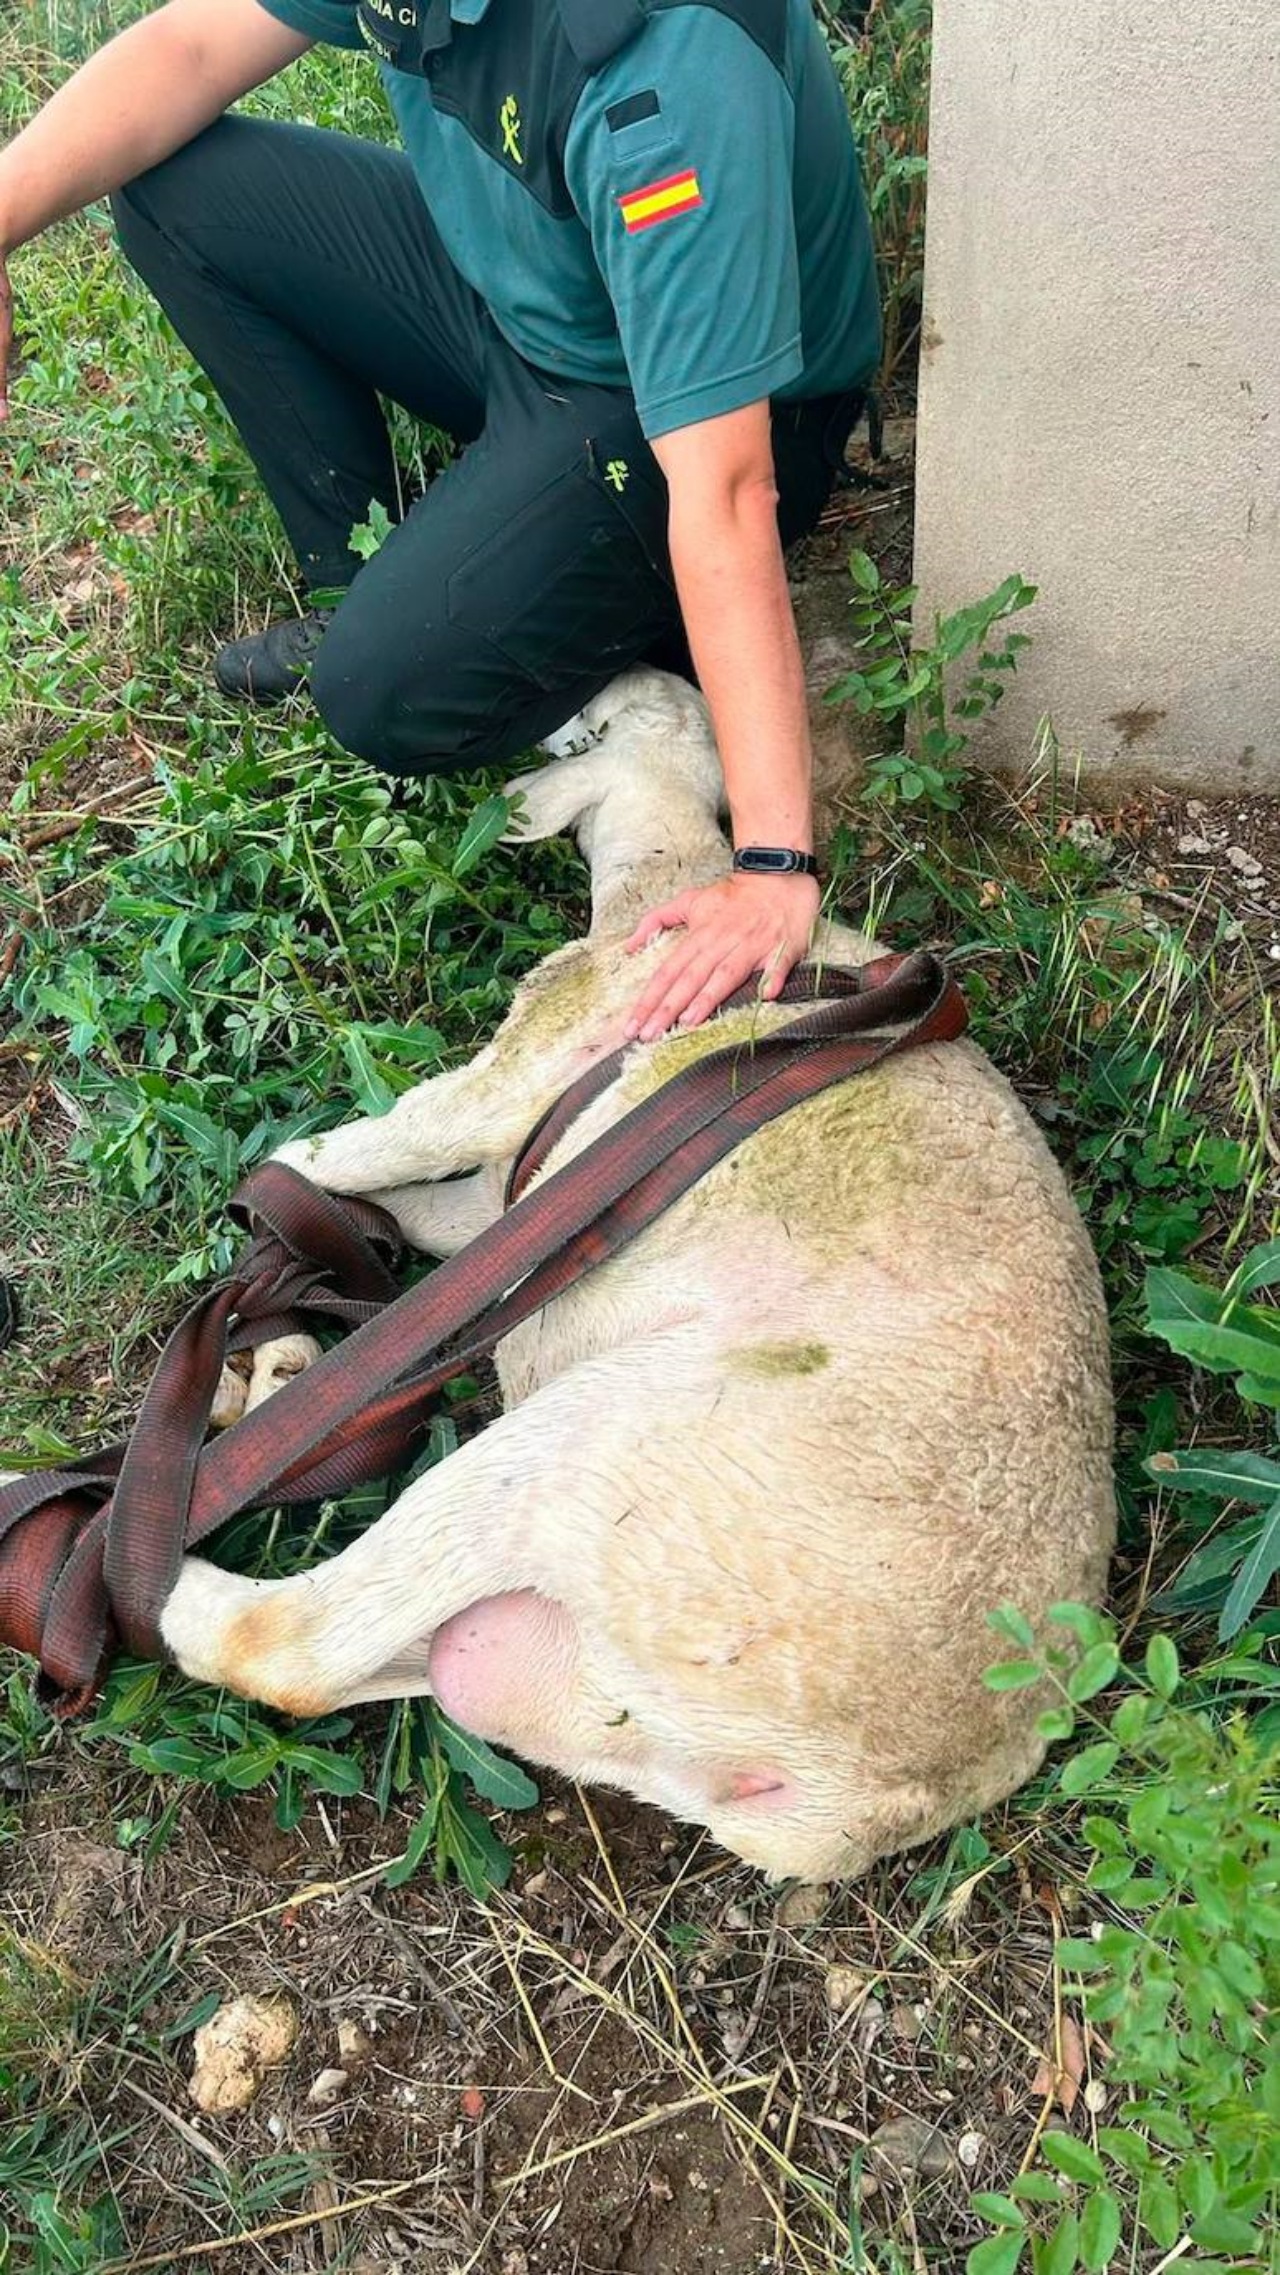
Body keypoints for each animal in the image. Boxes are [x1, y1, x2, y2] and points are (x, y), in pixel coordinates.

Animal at [162, 664, 1123, 1874]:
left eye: (593, 720)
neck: (672, 872)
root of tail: (881, 1800)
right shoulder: (520, 1183)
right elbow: (425, 1218)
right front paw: (300, 1287)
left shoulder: (527, 1063)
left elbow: (373, 1144)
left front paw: (280, 1191)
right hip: (583, 1689)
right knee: (424, 1658)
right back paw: (272, 1390)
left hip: (604, 1454)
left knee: (294, 1647)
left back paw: (151, 1564)